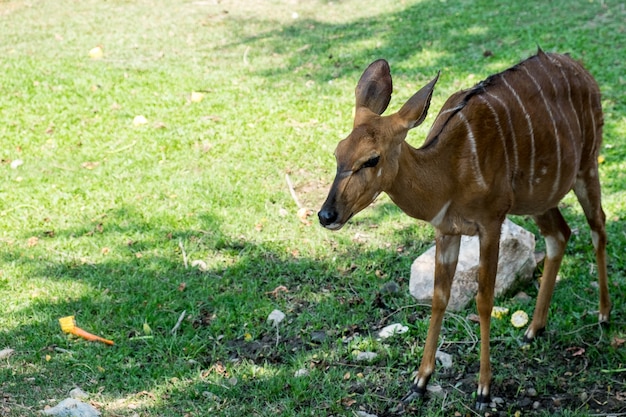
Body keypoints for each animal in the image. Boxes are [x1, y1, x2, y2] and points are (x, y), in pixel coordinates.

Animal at [316, 48, 608, 410]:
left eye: (372, 159)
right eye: (337, 152)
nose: (326, 214)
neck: (449, 173)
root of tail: (582, 70)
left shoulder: (491, 222)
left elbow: (484, 300)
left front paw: (484, 390)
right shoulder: (446, 230)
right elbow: (440, 297)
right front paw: (419, 383)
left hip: (587, 166)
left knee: (598, 227)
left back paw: (604, 316)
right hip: (539, 196)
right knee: (559, 235)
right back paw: (532, 330)